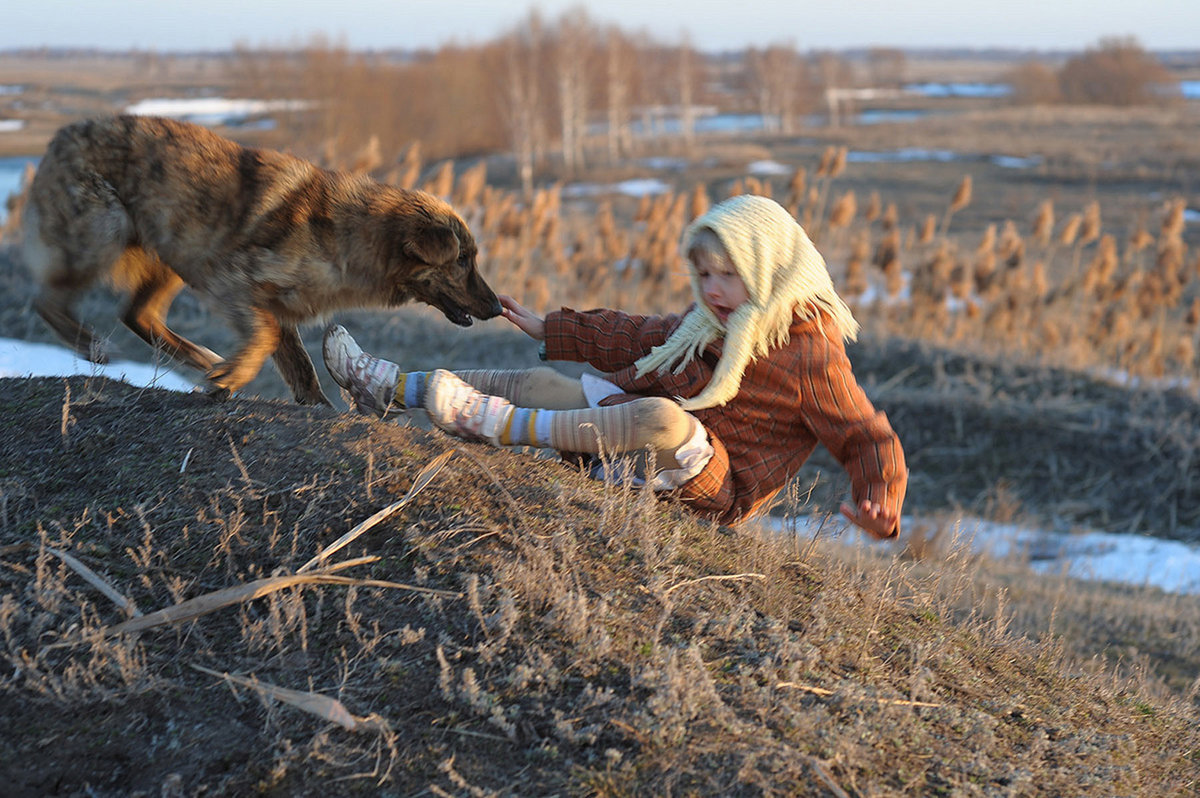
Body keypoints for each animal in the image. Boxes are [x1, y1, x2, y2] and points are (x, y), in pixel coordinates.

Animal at [23, 114, 501, 400]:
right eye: (463, 261)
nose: (498, 307)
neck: (349, 232)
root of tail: (58, 136)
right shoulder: (235, 282)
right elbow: (267, 337)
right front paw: (234, 376)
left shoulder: (276, 304)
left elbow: (301, 367)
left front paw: (317, 407)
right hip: (106, 231)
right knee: (47, 300)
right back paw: (91, 344)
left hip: (175, 249)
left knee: (138, 314)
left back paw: (201, 356)